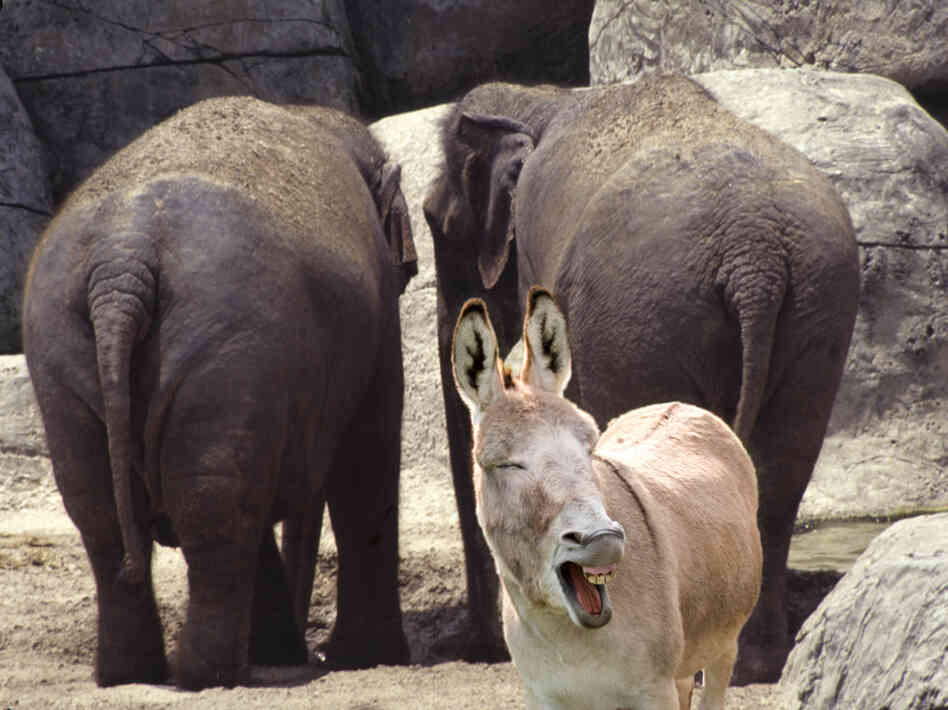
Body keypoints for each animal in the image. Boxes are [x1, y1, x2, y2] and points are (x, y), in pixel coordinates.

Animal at [22, 96, 417, 690]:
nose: (313, 649)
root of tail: (122, 261)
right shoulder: (377, 318)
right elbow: (368, 449)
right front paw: (368, 658)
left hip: (70, 355)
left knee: (113, 510)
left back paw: (133, 673)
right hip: (224, 349)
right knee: (216, 504)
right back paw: (211, 674)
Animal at [423, 74, 859, 683]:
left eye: (437, 223)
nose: (475, 649)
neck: (543, 97)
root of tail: (756, 258)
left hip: (647, 322)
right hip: (818, 306)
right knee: (782, 471)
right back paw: (755, 659)